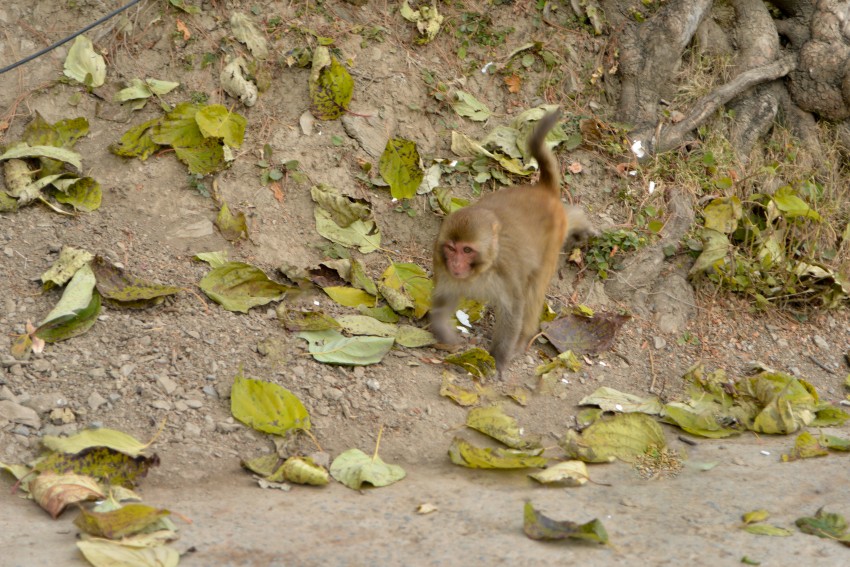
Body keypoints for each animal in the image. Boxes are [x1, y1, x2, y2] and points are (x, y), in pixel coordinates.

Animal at [430, 109, 594, 378]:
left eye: (467, 250)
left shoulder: (506, 272)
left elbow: (513, 310)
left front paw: (498, 358)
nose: (455, 264)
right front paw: (445, 335)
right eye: (451, 249)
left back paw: (522, 339)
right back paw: (580, 222)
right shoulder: (440, 263)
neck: (483, 269)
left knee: (534, 292)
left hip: (551, 244)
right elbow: (444, 300)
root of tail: (541, 191)